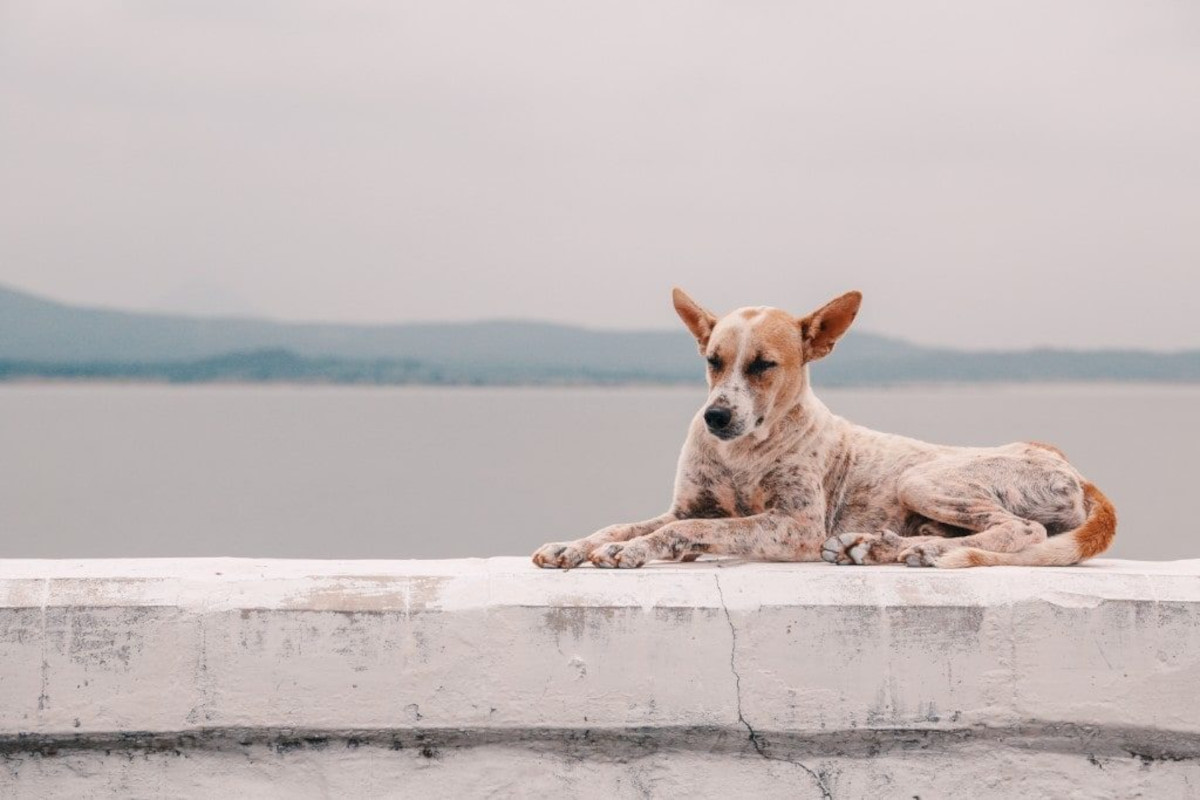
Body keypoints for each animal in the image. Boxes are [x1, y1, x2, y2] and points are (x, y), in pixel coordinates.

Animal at [532, 287, 1113, 568]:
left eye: (763, 365)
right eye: (713, 361)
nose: (715, 417)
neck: (744, 451)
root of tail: (1076, 472)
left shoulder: (794, 525)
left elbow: (685, 532)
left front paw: (630, 552)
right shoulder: (689, 504)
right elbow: (623, 525)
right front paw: (574, 546)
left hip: (923, 479)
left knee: (1022, 531)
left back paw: (920, 552)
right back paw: (883, 545)